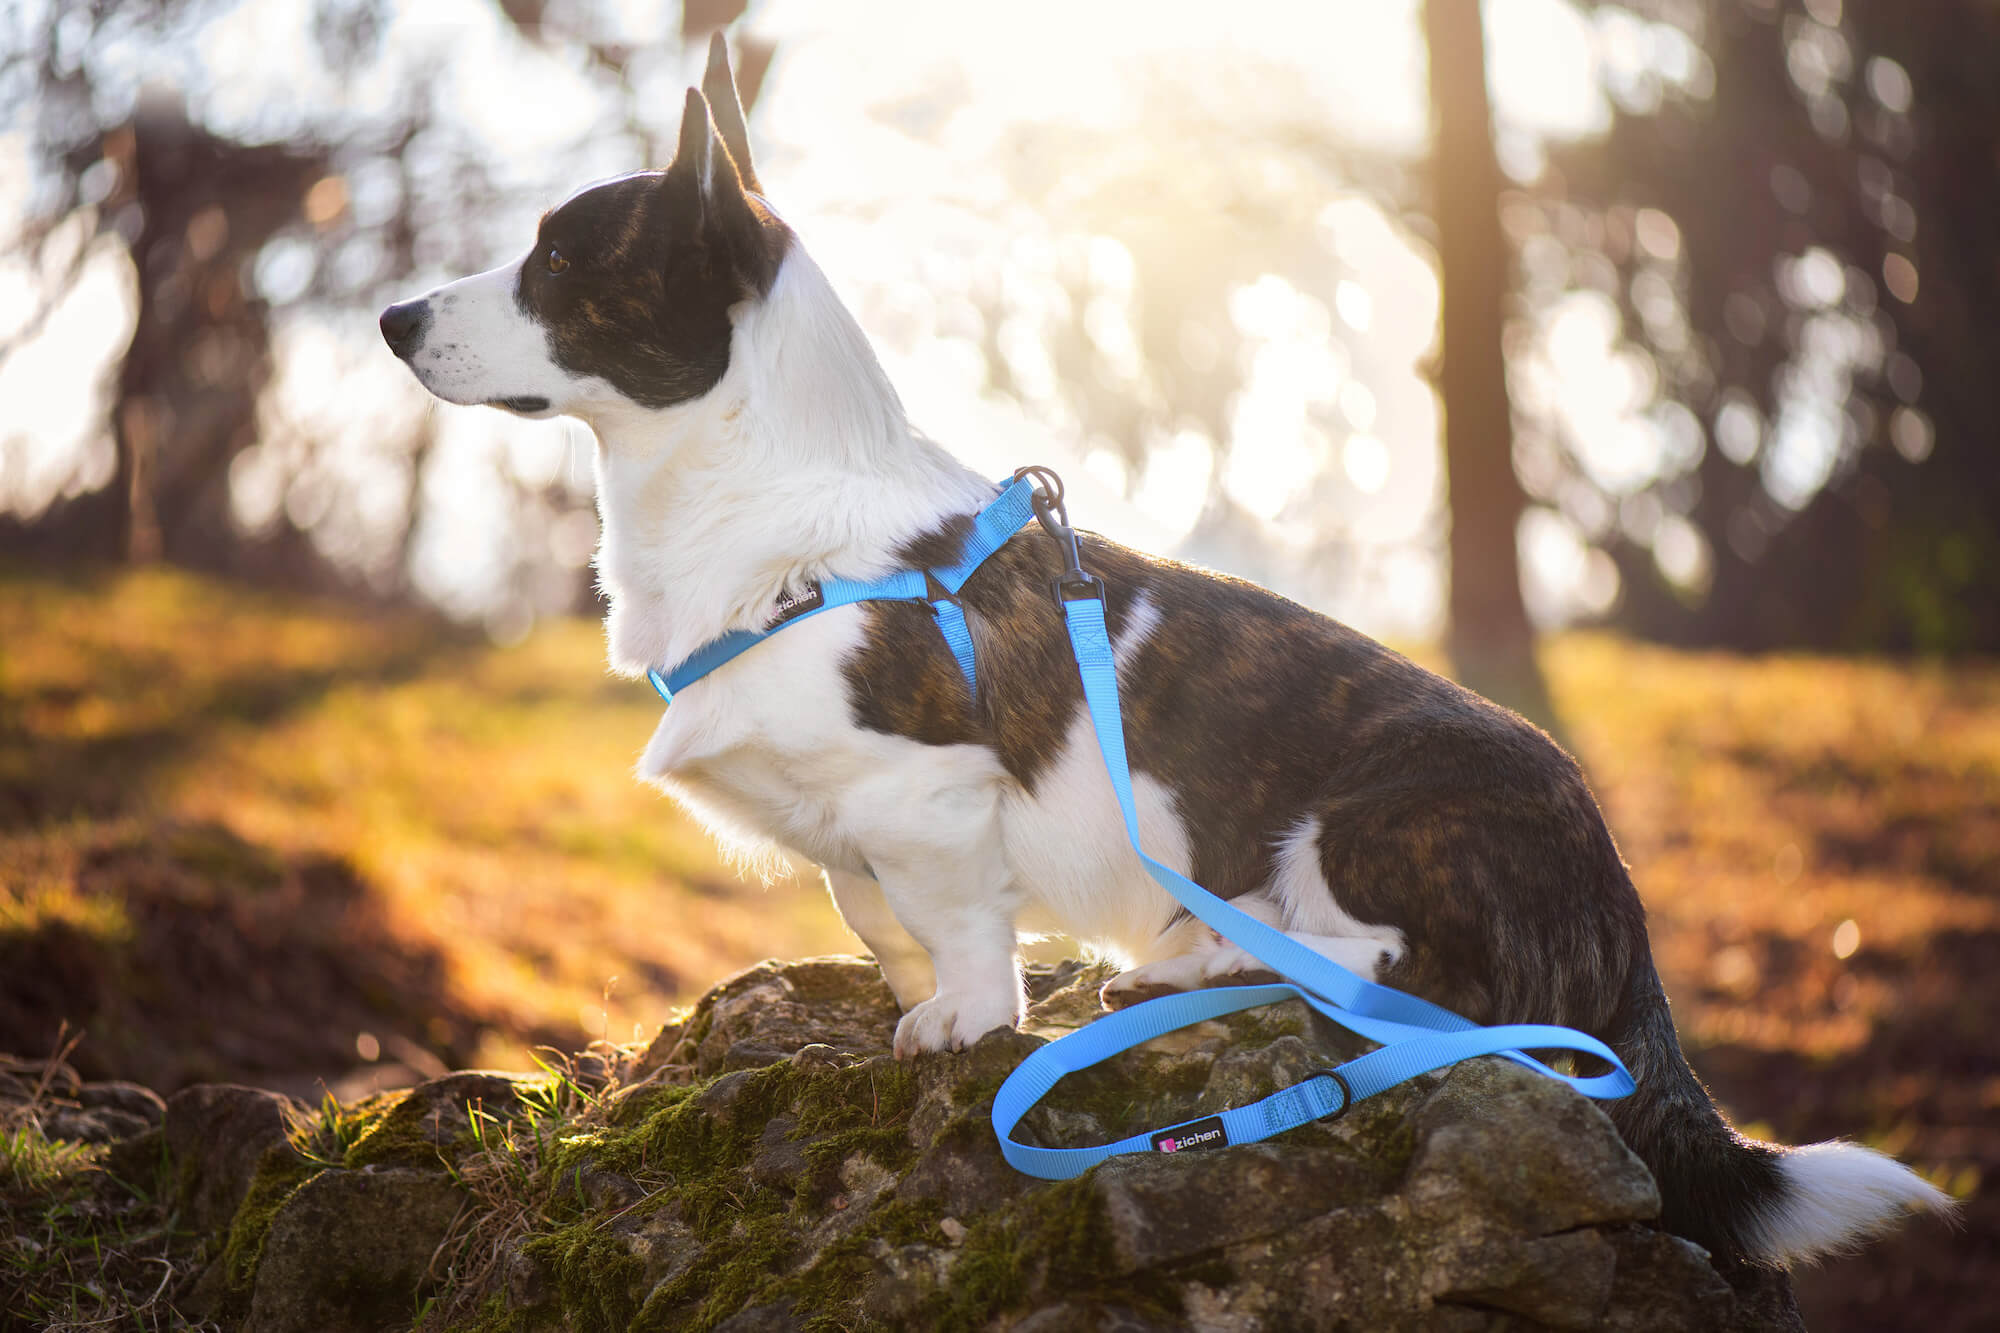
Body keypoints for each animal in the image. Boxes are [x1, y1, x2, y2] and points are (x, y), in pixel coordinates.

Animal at [378, 28, 1952, 1256]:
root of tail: (1619, 902)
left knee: (1403, 980)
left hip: (1368, 822)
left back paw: (1199, 957)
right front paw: (905, 989)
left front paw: (956, 1019)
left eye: (557, 261)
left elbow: (952, 922)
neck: (768, 510)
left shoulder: (929, 791)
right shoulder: (848, 831)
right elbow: (866, 908)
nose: (388, 317)